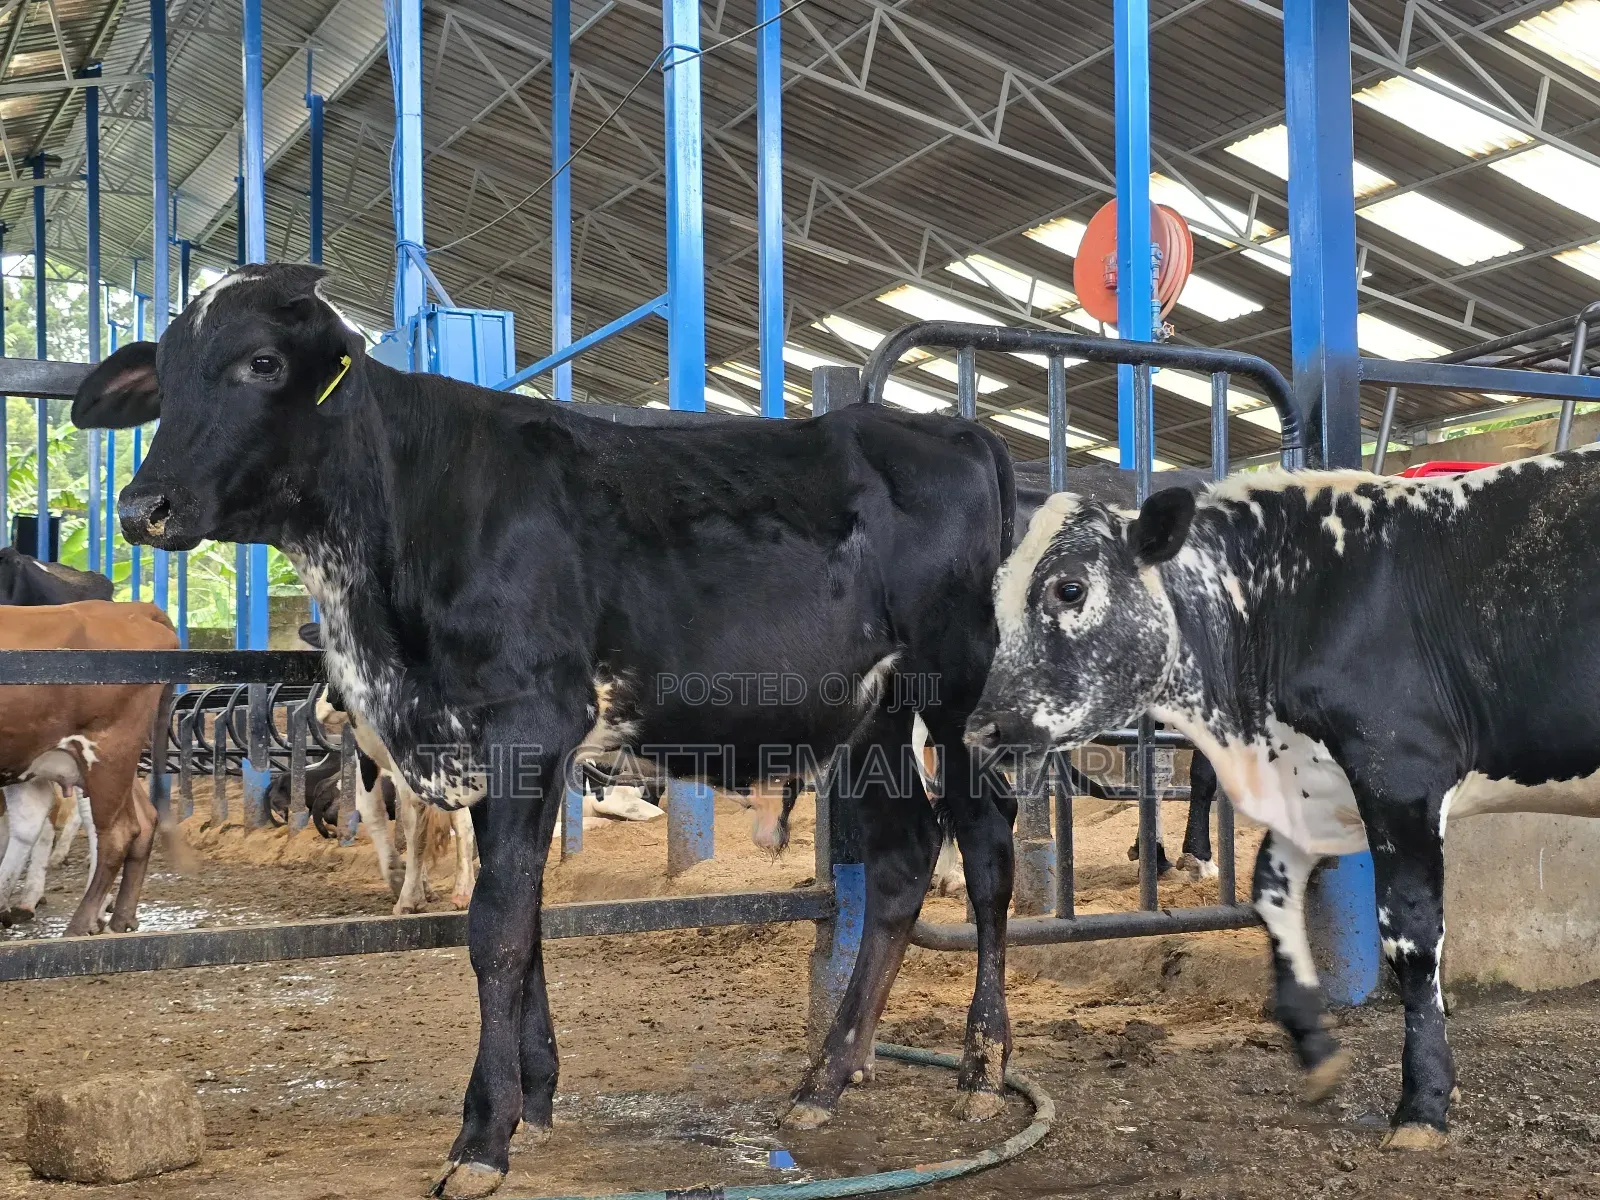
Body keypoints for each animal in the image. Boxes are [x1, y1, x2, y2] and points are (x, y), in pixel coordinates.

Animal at [0, 600, 177, 935]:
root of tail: (133, 609)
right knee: (143, 820)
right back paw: (119, 919)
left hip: (108, 752)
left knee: (117, 833)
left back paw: (79, 925)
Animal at [71, 262, 1019, 1198]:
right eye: (164, 379)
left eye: (262, 363)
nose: (142, 507)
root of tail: (944, 429)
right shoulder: (485, 749)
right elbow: (521, 920)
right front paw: (535, 1096)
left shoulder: (530, 725)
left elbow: (495, 926)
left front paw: (482, 1138)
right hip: (870, 716)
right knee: (901, 861)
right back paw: (827, 1077)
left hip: (957, 687)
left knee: (986, 847)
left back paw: (982, 1069)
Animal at [965, 453, 1600, 1151]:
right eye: (995, 598)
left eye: (1070, 589)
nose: (980, 729)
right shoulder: (1311, 788)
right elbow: (1269, 894)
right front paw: (1316, 1051)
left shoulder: (1402, 773)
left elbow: (1409, 940)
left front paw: (1423, 1103)